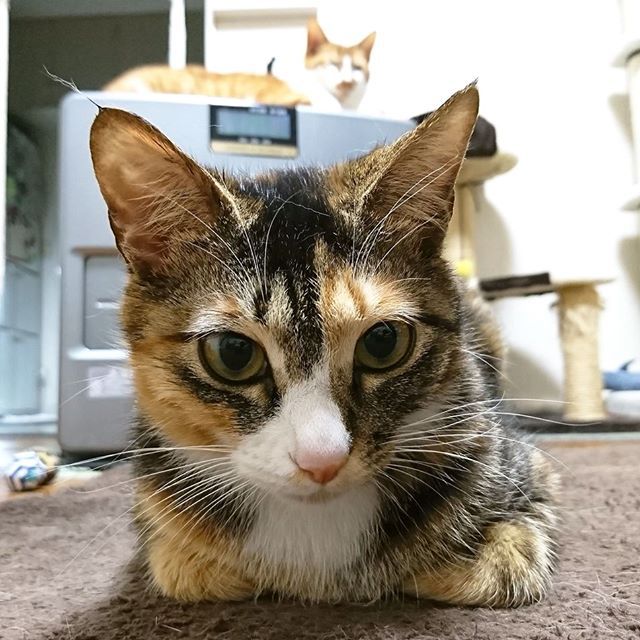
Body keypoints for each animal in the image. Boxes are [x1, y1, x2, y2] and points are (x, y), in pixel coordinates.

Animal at [89, 84, 559, 606]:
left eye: (384, 342)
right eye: (233, 353)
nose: (323, 461)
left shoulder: (528, 471)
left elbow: (497, 565)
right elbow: (181, 568)